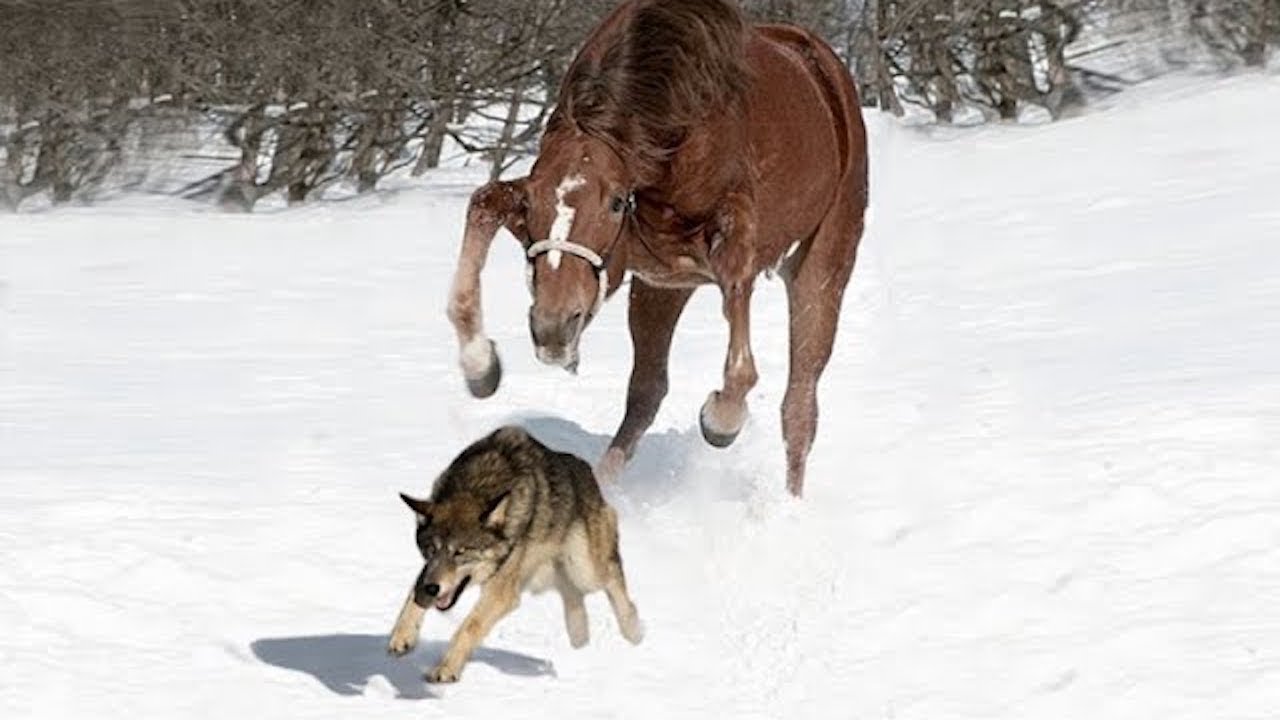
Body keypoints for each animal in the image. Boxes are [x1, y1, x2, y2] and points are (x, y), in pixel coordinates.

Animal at [444, 0, 868, 497]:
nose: (553, 326)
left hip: (822, 265)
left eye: (614, 202)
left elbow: (741, 366)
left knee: (799, 404)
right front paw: (480, 365)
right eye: (534, 201)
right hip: (661, 290)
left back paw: (788, 503)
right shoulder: (633, 259)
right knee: (647, 392)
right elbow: (483, 204)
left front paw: (720, 420)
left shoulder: (732, 234)